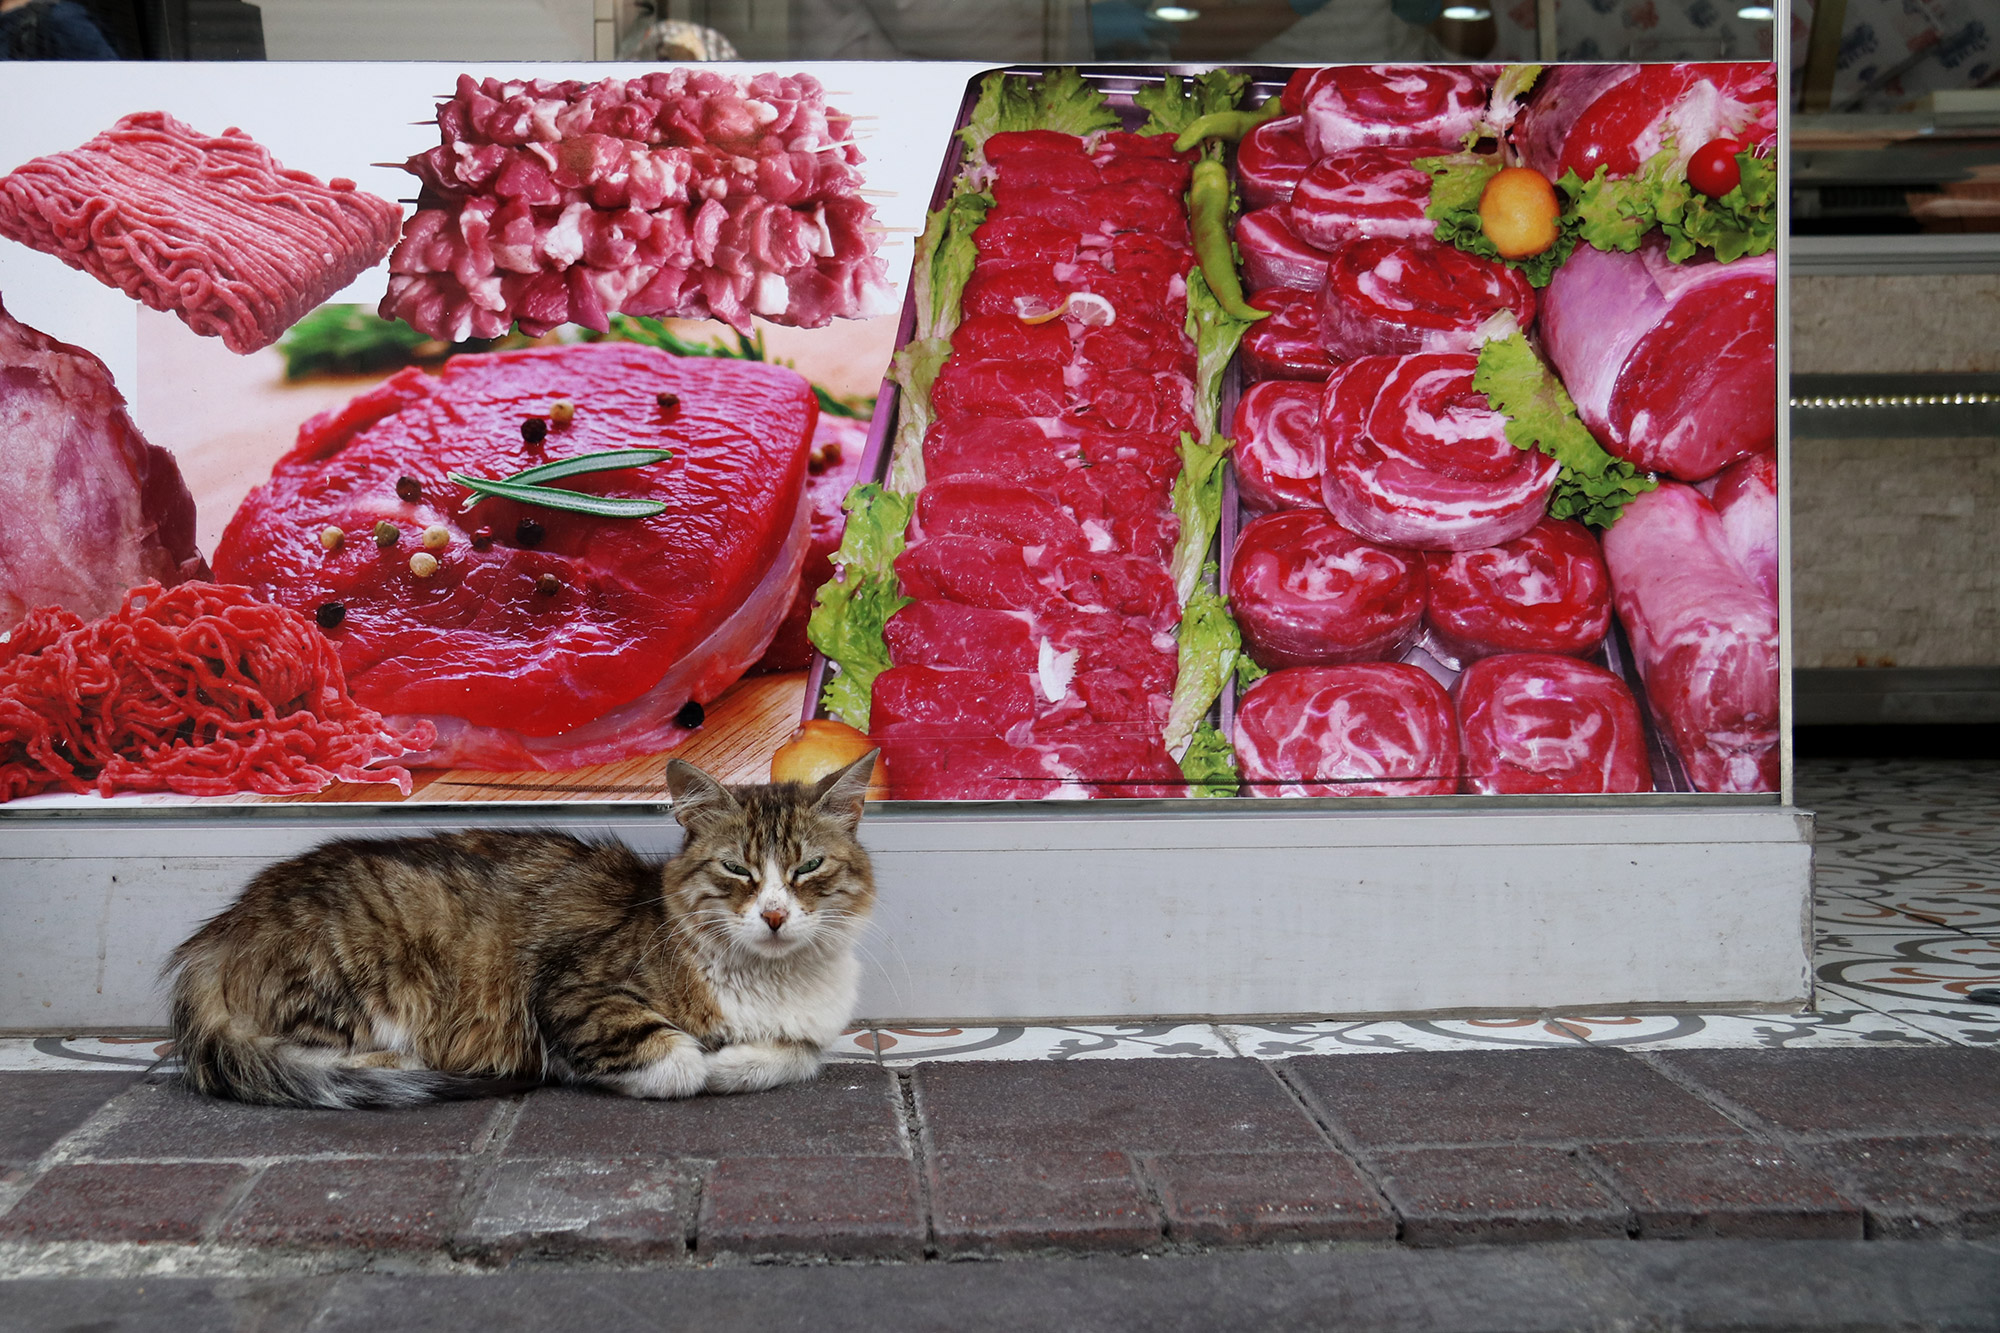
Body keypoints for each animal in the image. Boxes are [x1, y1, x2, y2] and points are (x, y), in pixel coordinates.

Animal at [168, 752, 888, 1104]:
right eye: (737, 868)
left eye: (809, 867)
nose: (774, 914)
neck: (771, 982)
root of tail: (219, 932)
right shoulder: (573, 993)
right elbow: (677, 1061)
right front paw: (704, 1061)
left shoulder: (809, 1035)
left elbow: (797, 1058)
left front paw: (738, 1058)